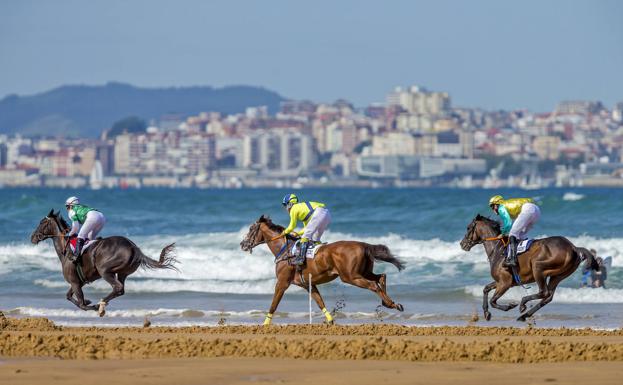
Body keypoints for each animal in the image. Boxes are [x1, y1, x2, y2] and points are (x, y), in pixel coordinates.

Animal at [31, 210, 178, 316]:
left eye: (42, 222)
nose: (32, 237)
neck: (66, 249)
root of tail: (134, 247)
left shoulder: (75, 282)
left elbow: (81, 304)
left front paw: (94, 305)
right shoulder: (78, 282)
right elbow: (69, 296)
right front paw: (89, 301)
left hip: (105, 270)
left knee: (117, 287)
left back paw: (101, 304)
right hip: (122, 272)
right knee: (120, 289)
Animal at [239, 214, 404, 322]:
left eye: (251, 228)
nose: (242, 244)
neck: (285, 249)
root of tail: (364, 245)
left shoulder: (282, 283)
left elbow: (273, 305)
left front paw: (265, 324)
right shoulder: (308, 284)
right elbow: (319, 302)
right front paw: (330, 320)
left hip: (350, 276)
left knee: (373, 285)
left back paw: (390, 303)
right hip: (363, 272)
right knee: (381, 277)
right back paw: (391, 303)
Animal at [458, 213, 600, 320]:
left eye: (468, 227)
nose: (462, 244)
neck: (498, 250)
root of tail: (574, 247)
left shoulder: (505, 282)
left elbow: (493, 301)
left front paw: (510, 306)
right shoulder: (501, 281)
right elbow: (485, 289)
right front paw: (486, 313)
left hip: (538, 267)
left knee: (544, 292)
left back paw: (522, 304)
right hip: (558, 276)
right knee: (548, 297)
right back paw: (524, 315)